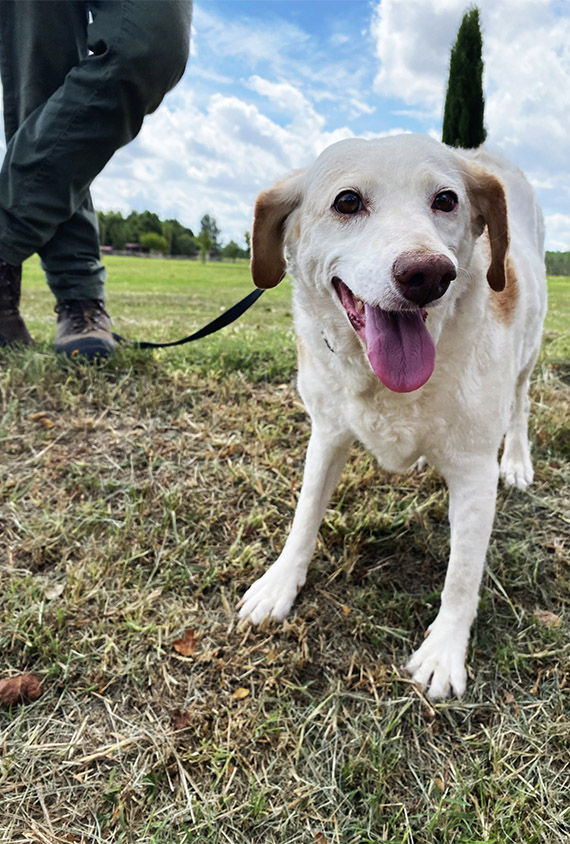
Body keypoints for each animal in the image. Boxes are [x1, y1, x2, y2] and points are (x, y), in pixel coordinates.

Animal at [236, 134, 544, 700]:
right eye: (347, 201)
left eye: (446, 200)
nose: (428, 273)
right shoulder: (327, 433)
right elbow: (304, 516)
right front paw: (279, 584)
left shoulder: (474, 470)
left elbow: (462, 573)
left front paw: (444, 652)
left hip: (527, 356)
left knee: (521, 403)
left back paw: (516, 460)